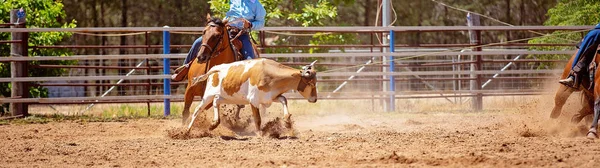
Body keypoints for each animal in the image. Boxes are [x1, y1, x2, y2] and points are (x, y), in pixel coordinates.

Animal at [186, 58, 318, 135]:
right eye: (311, 83)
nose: (315, 99)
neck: (269, 74)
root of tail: (214, 69)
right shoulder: (254, 101)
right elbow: (258, 119)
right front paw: (260, 134)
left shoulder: (271, 97)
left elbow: (284, 100)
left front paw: (287, 121)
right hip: (207, 95)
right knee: (197, 110)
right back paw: (187, 130)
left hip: (226, 96)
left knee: (216, 101)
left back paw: (214, 123)